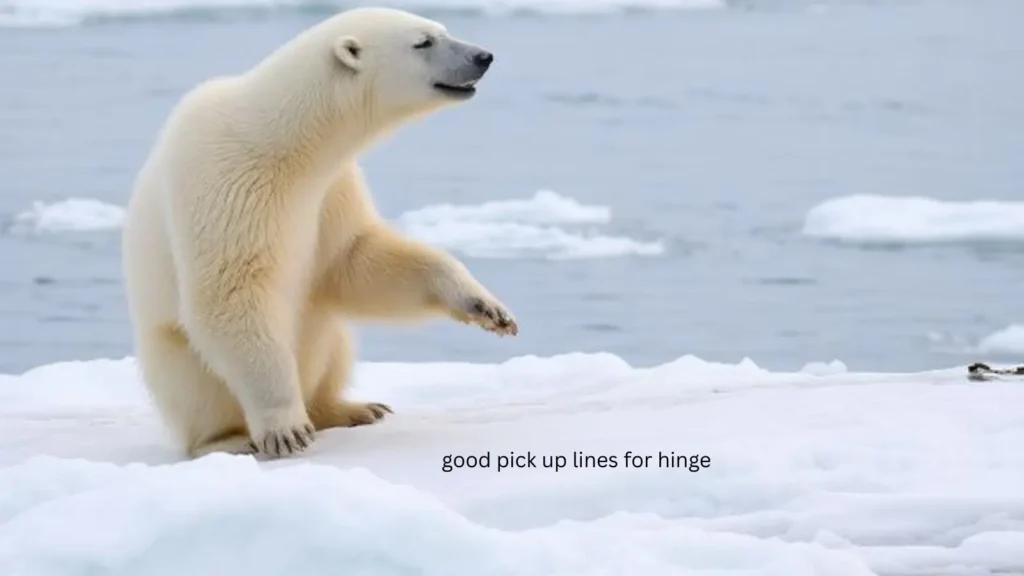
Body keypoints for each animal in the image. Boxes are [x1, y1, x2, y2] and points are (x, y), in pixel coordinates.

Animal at [121, 7, 517, 461]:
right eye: (423, 42)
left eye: (442, 29)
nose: (483, 56)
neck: (282, 141)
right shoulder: (222, 181)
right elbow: (229, 292)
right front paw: (285, 428)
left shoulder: (330, 187)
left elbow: (354, 258)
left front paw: (487, 307)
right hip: (174, 360)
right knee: (197, 392)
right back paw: (230, 439)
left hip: (325, 336)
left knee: (335, 345)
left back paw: (354, 408)